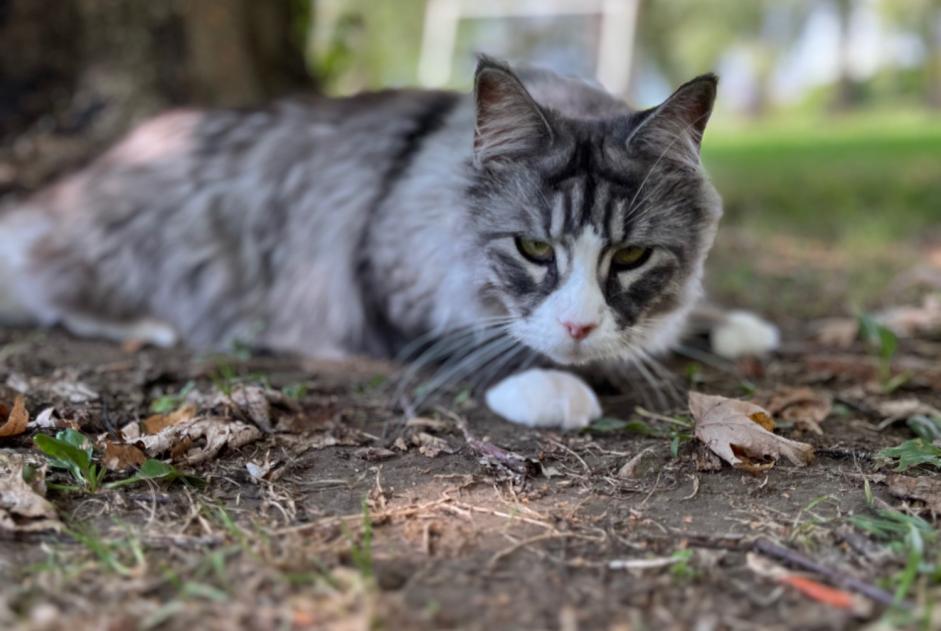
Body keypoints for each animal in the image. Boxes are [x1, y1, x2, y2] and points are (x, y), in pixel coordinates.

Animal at [0, 56, 780, 430]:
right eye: (532, 248)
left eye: (631, 256)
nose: (578, 327)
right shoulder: (380, 280)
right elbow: (474, 346)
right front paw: (550, 385)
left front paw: (731, 325)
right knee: (53, 287)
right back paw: (147, 324)